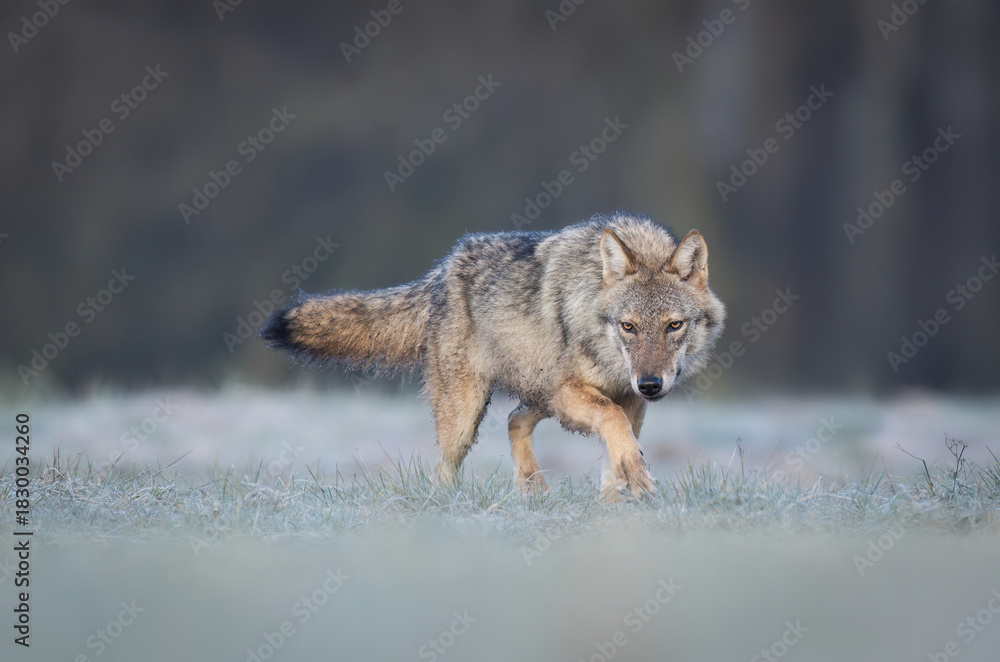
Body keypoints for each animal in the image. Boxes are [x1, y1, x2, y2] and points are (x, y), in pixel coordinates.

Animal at [261, 212, 725, 501]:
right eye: (628, 327)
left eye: (673, 326)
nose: (651, 384)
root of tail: (442, 269)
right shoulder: (577, 392)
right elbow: (615, 428)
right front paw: (635, 481)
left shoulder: (628, 401)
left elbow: (618, 445)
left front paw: (618, 498)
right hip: (469, 415)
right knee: (444, 469)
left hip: (537, 392)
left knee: (514, 420)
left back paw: (532, 489)